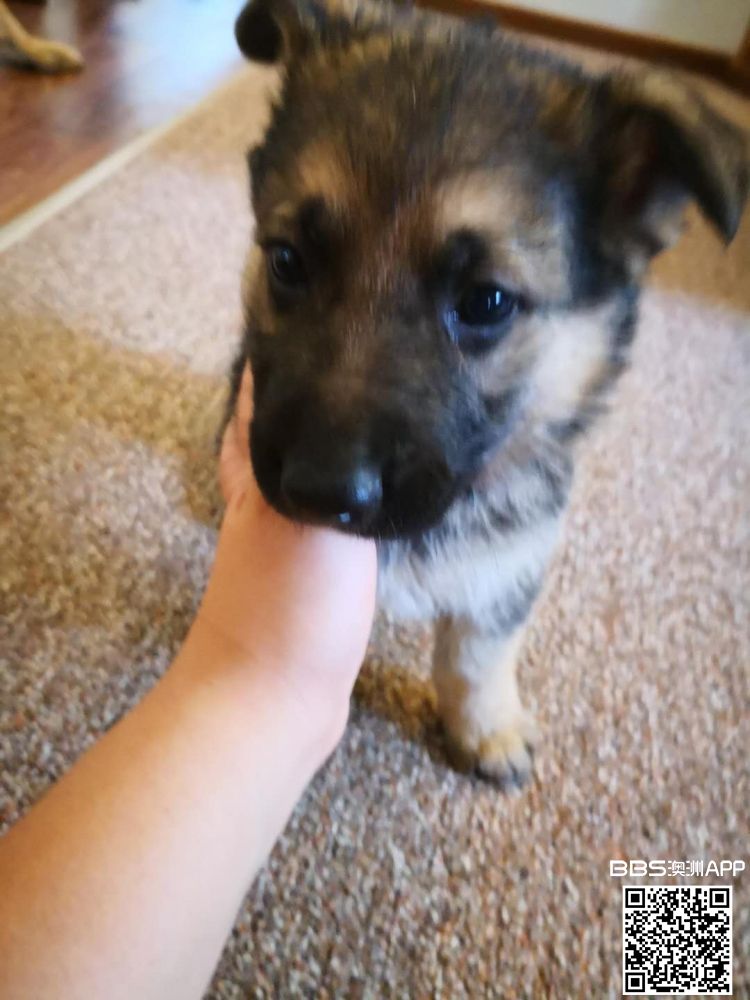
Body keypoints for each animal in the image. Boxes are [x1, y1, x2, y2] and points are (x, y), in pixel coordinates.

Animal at [226, 0, 748, 785]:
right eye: (287, 261)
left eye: (487, 301)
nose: (320, 492)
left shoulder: (512, 564)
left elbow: (479, 653)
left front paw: (484, 727)